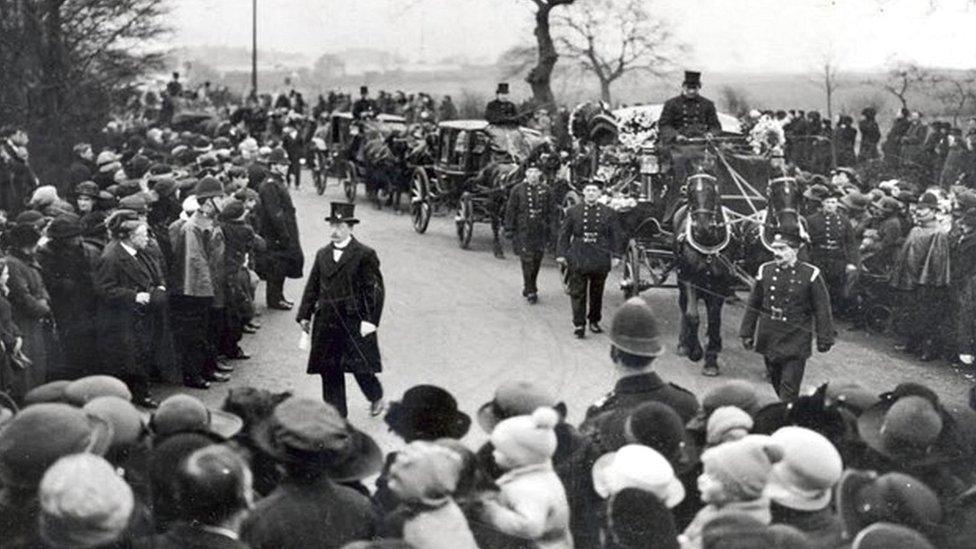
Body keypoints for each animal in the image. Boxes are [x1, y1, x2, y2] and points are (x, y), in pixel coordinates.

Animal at [676, 173, 736, 374]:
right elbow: (692, 315)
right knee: (683, 306)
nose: (702, 227)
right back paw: (683, 344)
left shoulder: (720, 285)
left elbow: (715, 319)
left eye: (712, 191)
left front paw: (711, 360)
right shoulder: (688, 279)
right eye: (690, 191)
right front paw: (695, 351)